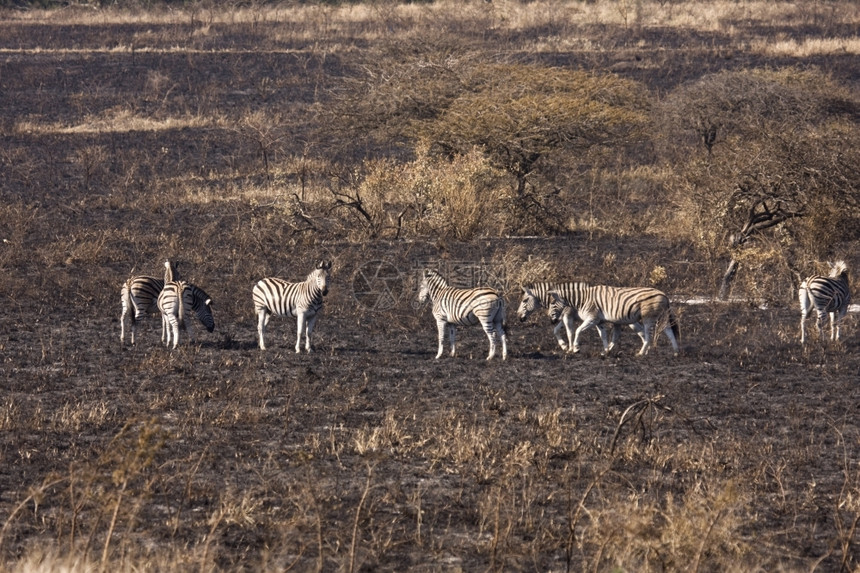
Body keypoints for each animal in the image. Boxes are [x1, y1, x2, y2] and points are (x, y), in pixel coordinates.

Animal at [544, 284, 680, 356]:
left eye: (552, 303)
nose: (551, 321)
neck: (582, 300)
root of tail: (664, 294)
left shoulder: (592, 318)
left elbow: (577, 330)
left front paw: (575, 348)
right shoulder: (598, 321)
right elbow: (603, 335)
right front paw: (605, 351)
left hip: (648, 317)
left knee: (648, 335)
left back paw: (641, 353)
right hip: (662, 317)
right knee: (668, 331)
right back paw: (676, 351)